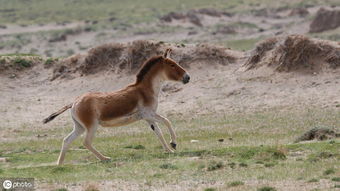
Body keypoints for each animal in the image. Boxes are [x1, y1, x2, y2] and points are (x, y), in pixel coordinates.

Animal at [42, 48, 190, 165]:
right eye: (172, 64)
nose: (187, 77)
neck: (145, 90)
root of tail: (73, 103)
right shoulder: (149, 114)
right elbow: (167, 121)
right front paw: (173, 143)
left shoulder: (148, 118)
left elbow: (158, 132)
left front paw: (168, 150)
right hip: (91, 126)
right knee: (86, 142)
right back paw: (105, 158)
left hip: (79, 127)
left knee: (67, 140)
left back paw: (60, 164)